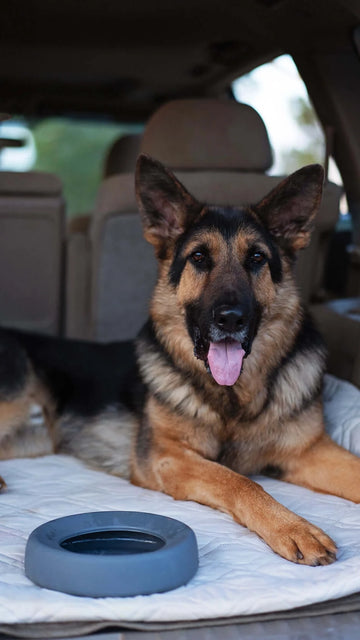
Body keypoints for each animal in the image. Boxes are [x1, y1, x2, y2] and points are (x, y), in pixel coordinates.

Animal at [0, 154, 360, 564]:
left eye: (256, 258)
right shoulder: (167, 455)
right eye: (199, 257)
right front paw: (293, 527)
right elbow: (239, 480)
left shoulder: (309, 451)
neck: (233, 397)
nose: (230, 319)